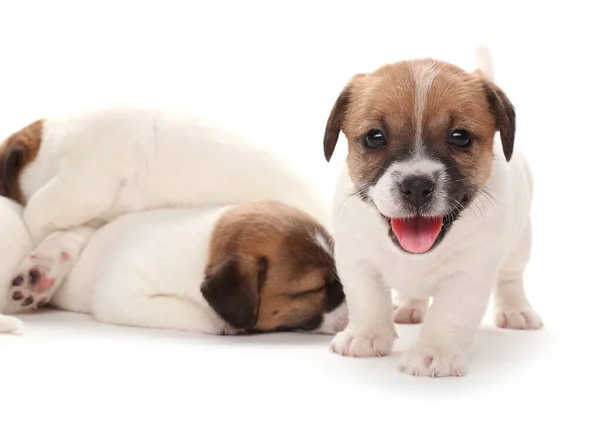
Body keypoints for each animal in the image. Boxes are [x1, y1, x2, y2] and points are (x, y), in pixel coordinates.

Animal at [324, 45, 544, 376]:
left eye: (460, 137)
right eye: (374, 137)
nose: (416, 186)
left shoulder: (468, 272)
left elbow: (448, 314)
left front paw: (433, 353)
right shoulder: (356, 258)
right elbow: (367, 299)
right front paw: (365, 336)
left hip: (520, 244)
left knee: (511, 278)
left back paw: (515, 309)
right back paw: (408, 306)